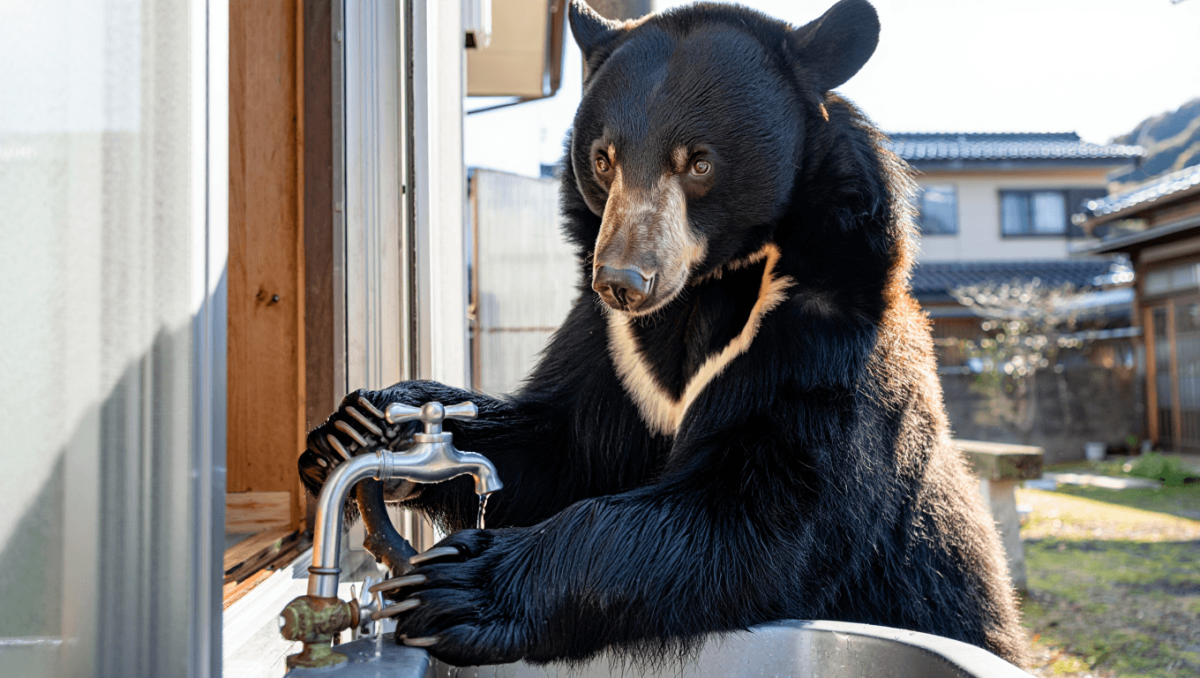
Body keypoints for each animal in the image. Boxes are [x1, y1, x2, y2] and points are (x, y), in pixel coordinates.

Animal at [298, 0, 1028, 668]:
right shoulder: (608, 349)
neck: (702, 295)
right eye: (604, 158)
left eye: (699, 163)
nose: (622, 281)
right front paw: (359, 430)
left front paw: (456, 585)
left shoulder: (820, 340)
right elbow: (554, 449)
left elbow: (760, 510)